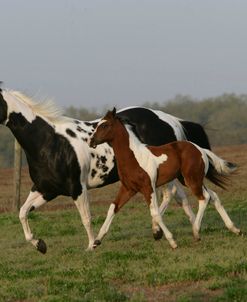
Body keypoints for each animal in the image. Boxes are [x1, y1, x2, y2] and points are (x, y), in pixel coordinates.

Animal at [0, 86, 210, 252]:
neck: (50, 142)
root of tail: (170, 120)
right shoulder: (46, 189)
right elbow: (23, 212)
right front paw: (40, 245)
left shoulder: (77, 188)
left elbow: (86, 218)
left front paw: (92, 245)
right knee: (180, 196)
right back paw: (191, 228)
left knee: (171, 194)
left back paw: (163, 230)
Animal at [89, 108, 240, 248]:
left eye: (105, 125)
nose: (91, 141)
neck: (134, 157)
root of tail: (200, 149)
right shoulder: (128, 188)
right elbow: (113, 207)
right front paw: (96, 241)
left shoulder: (148, 188)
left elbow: (155, 213)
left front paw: (172, 241)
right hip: (190, 180)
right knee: (213, 195)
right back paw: (234, 229)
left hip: (192, 180)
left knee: (204, 198)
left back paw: (196, 232)